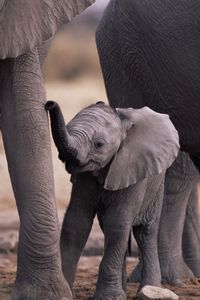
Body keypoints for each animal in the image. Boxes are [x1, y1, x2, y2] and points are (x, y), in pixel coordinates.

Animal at [45, 101, 180, 300]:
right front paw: (66, 293)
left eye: (99, 145)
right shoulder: (84, 177)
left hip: (156, 185)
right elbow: (76, 223)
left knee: (144, 232)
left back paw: (150, 289)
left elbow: (117, 222)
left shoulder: (132, 167)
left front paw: (109, 297)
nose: (49, 104)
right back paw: (124, 289)